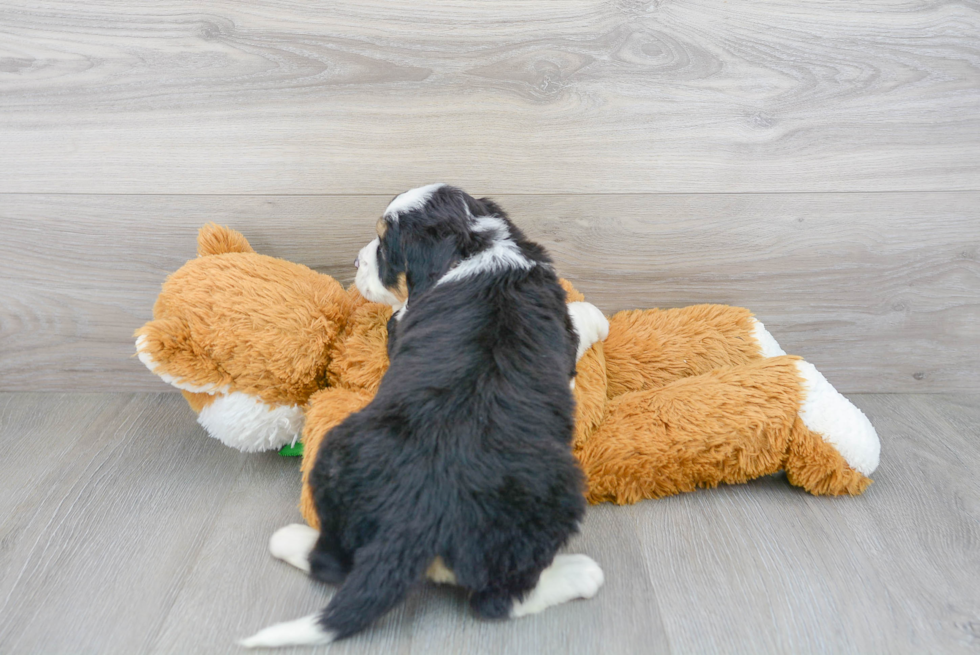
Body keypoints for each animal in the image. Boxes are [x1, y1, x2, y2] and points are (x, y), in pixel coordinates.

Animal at [241, 183, 608, 644]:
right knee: (496, 600)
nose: (355, 262)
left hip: (337, 448)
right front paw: (597, 317)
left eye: (383, 247)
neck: (473, 249)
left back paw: (290, 539)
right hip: (556, 495)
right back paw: (580, 574)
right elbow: (581, 321)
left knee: (333, 562)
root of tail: (419, 512)